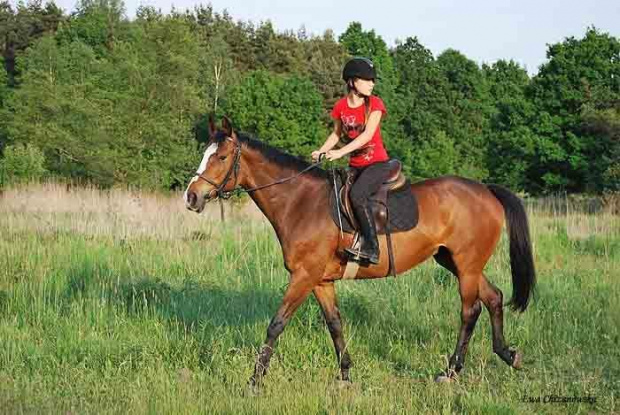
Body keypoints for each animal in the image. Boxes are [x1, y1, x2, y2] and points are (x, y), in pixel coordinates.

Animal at [183, 116, 532, 386]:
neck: (300, 202)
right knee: (494, 297)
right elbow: (335, 324)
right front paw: (345, 376)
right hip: (457, 262)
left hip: (466, 264)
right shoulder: (321, 281)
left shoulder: (303, 276)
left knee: (470, 311)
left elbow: (276, 324)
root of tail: (485, 190)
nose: (191, 197)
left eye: (221, 158)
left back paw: (450, 371)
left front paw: (254, 381)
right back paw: (508, 354)